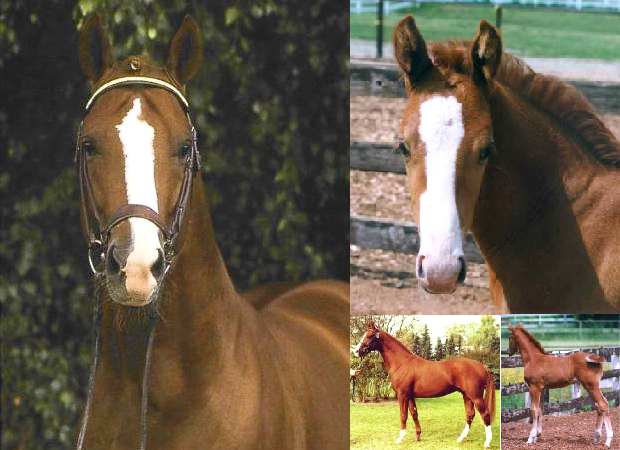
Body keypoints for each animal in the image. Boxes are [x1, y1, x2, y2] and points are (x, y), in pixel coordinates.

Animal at [354, 324, 494, 446]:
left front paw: (400, 439)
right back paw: (460, 439)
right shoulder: (410, 396)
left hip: (475, 396)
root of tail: (482, 366)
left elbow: (403, 415)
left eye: (370, 336)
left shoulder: (402, 395)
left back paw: (487, 443)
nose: (356, 351)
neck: (402, 363)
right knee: (470, 415)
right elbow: (414, 413)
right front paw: (418, 436)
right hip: (466, 395)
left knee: (485, 414)